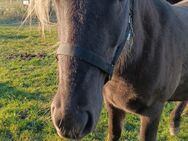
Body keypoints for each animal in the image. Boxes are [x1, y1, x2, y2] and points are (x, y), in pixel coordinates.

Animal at [50, 0, 188, 140]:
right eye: (56, 2)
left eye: (119, 1)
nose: (70, 119)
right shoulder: (112, 105)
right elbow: (113, 133)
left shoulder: (153, 112)